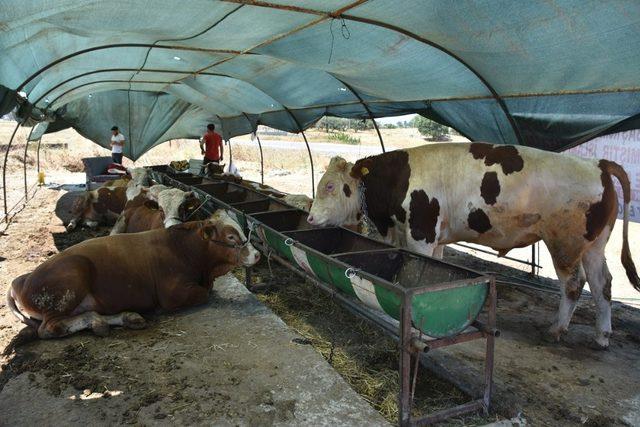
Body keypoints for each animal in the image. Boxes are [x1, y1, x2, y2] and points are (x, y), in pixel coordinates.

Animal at [7, 212, 260, 340]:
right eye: (230, 237)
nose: (257, 254)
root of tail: (21, 281)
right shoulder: (172, 294)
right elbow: (204, 294)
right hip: (71, 278)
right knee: (48, 328)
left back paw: (123, 318)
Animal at [308, 142, 636, 350]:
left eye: (330, 186)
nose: (310, 217)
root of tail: (597, 163)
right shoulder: (434, 237)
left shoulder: (420, 233)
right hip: (594, 245)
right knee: (602, 284)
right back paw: (602, 336)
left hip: (565, 242)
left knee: (574, 284)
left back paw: (557, 329)